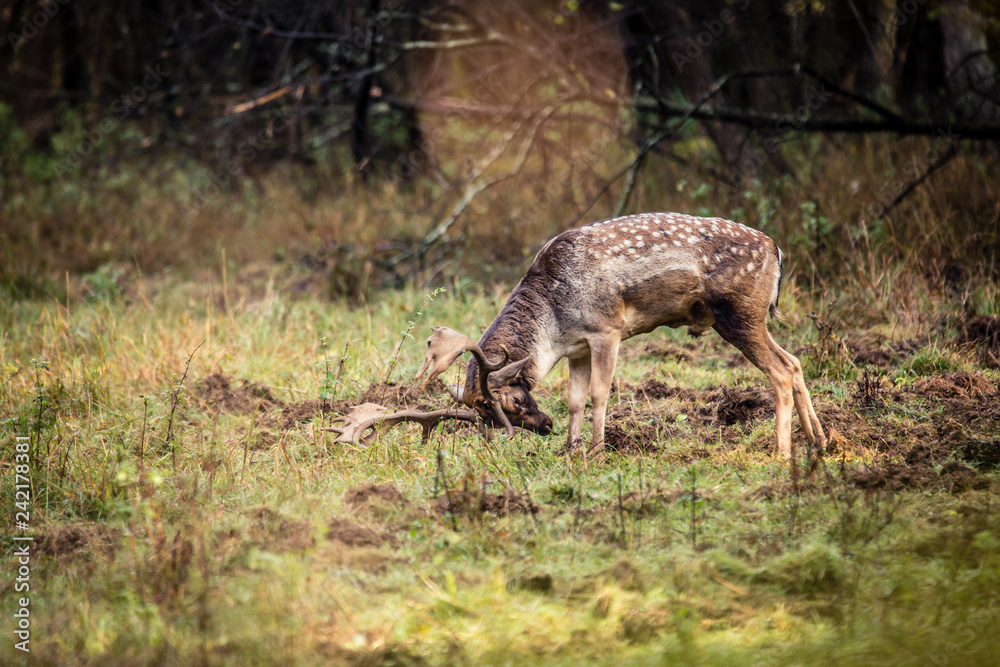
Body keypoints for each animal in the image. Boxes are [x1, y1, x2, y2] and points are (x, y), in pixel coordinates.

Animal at [333, 212, 826, 459]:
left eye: (511, 401)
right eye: (486, 415)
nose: (542, 427)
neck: (555, 320)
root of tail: (777, 250)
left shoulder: (608, 329)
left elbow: (599, 394)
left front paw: (595, 449)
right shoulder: (575, 349)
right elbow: (573, 397)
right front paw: (570, 449)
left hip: (740, 313)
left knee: (780, 371)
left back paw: (782, 453)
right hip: (754, 317)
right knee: (796, 361)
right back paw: (820, 442)